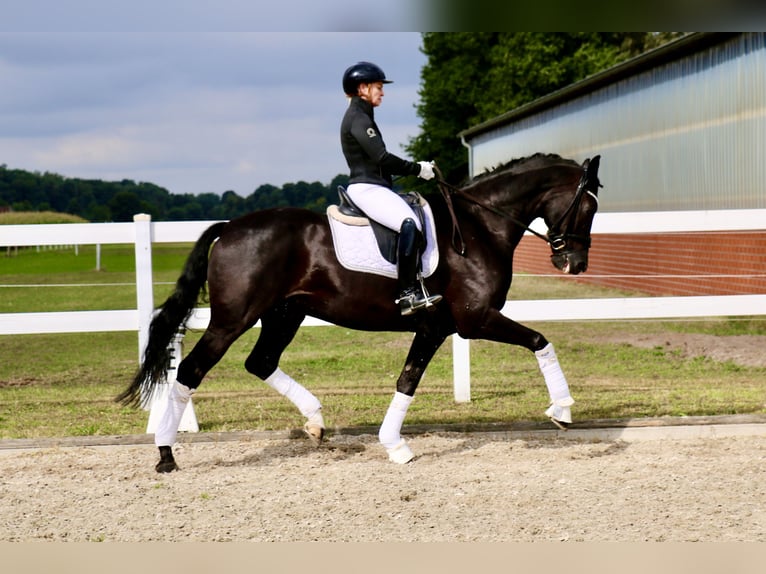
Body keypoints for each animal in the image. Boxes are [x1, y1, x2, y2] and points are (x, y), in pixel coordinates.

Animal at [117, 152, 602, 472]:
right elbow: (540, 340)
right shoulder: (473, 321)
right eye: (588, 206)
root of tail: (229, 228)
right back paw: (166, 455)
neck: (479, 228)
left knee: (261, 361)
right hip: (232, 319)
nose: (574, 264)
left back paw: (315, 423)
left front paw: (394, 445)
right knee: (191, 371)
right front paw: (562, 410)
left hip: (285, 314)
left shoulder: (435, 328)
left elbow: (407, 381)